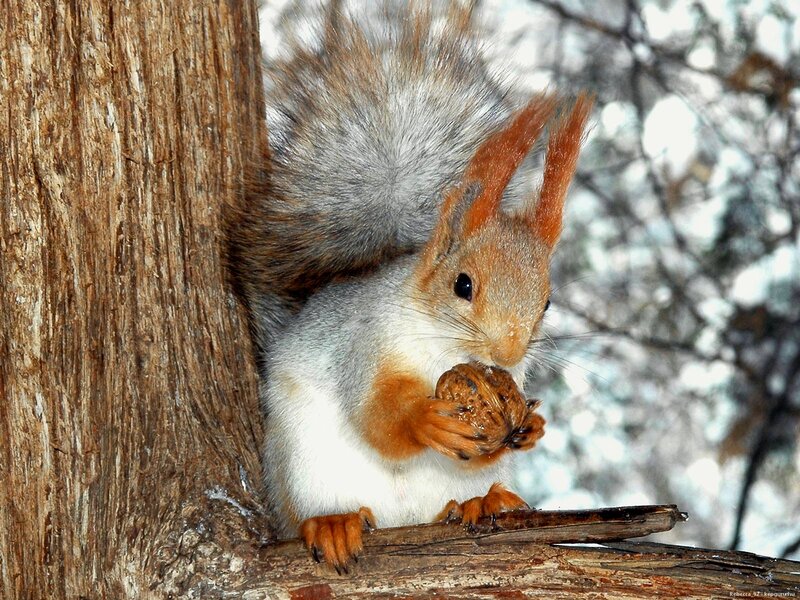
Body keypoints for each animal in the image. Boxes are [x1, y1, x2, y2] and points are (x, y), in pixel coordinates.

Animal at [226, 2, 593, 571]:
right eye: (462, 285)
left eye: (547, 301)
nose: (509, 352)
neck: (440, 344)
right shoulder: (365, 343)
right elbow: (375, 415)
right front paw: (426, 421)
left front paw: (531, 426)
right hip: (305, 466)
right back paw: (333, 523)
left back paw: (483, 501)